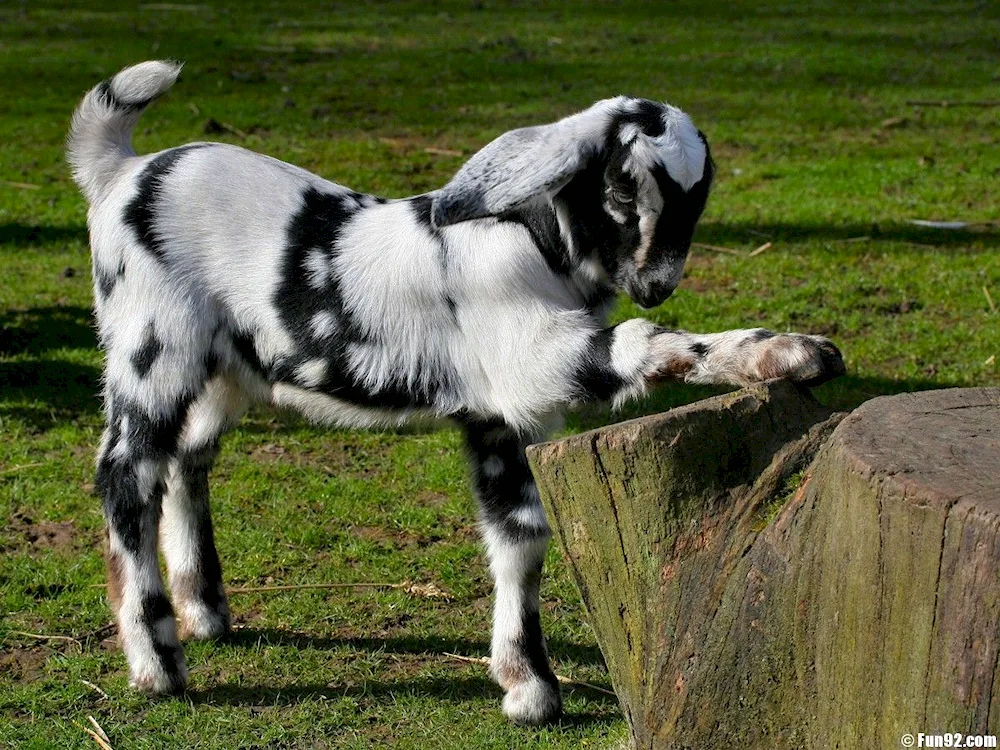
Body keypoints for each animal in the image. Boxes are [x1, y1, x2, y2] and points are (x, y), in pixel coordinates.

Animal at [64, 63, 844, 728]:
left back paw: (203, 612)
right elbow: (650, 342)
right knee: (126, 472)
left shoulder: (501, 418)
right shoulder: (537, 363)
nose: (656, 283)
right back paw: (157, 663)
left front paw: (527, 686)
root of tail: (121, 171)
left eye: (699, 199)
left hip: (224, 370)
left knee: (184, 461)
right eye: (624, 189)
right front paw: (787, 351)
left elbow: (521, 533)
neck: (533, 239)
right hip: (151, 344)